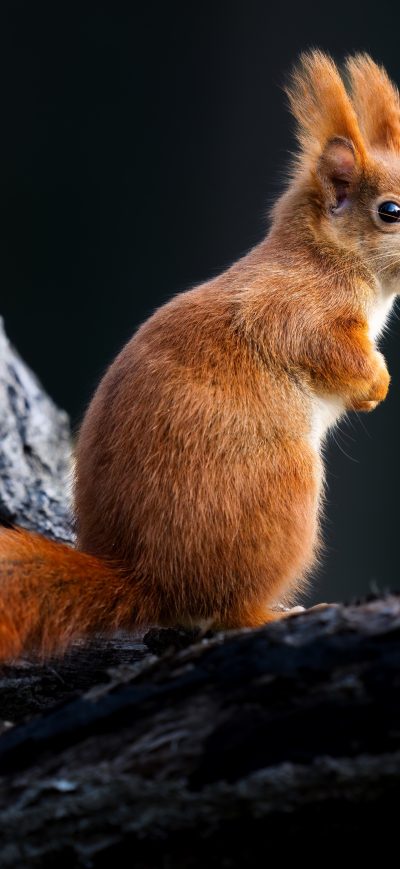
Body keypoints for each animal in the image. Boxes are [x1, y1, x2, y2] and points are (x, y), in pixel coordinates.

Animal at [0, 50, 399, 661]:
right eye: (390, 210)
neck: (327, 256)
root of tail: (147, 579)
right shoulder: (295, 309)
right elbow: (332, 353)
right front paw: (376, 385)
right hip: (278, 496)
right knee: (227, 610)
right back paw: (275, 614)